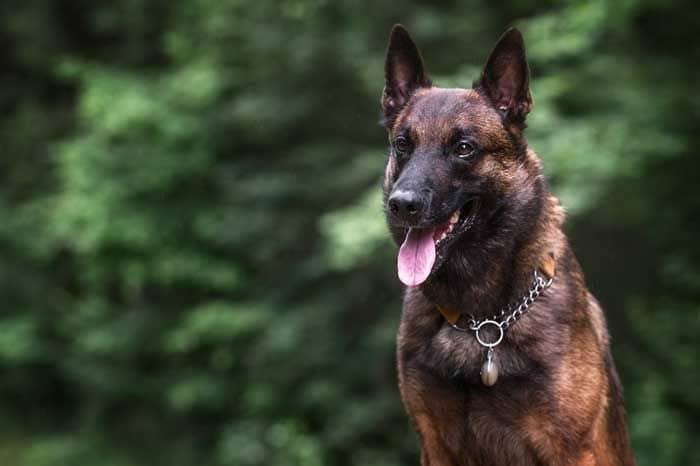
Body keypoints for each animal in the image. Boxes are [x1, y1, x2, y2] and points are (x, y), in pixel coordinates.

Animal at [380, 25, 636, 466]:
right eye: (402, 144)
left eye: (463, 148)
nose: (402, 204)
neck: (480, 322)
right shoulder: (435, 445)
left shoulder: (572, 449)